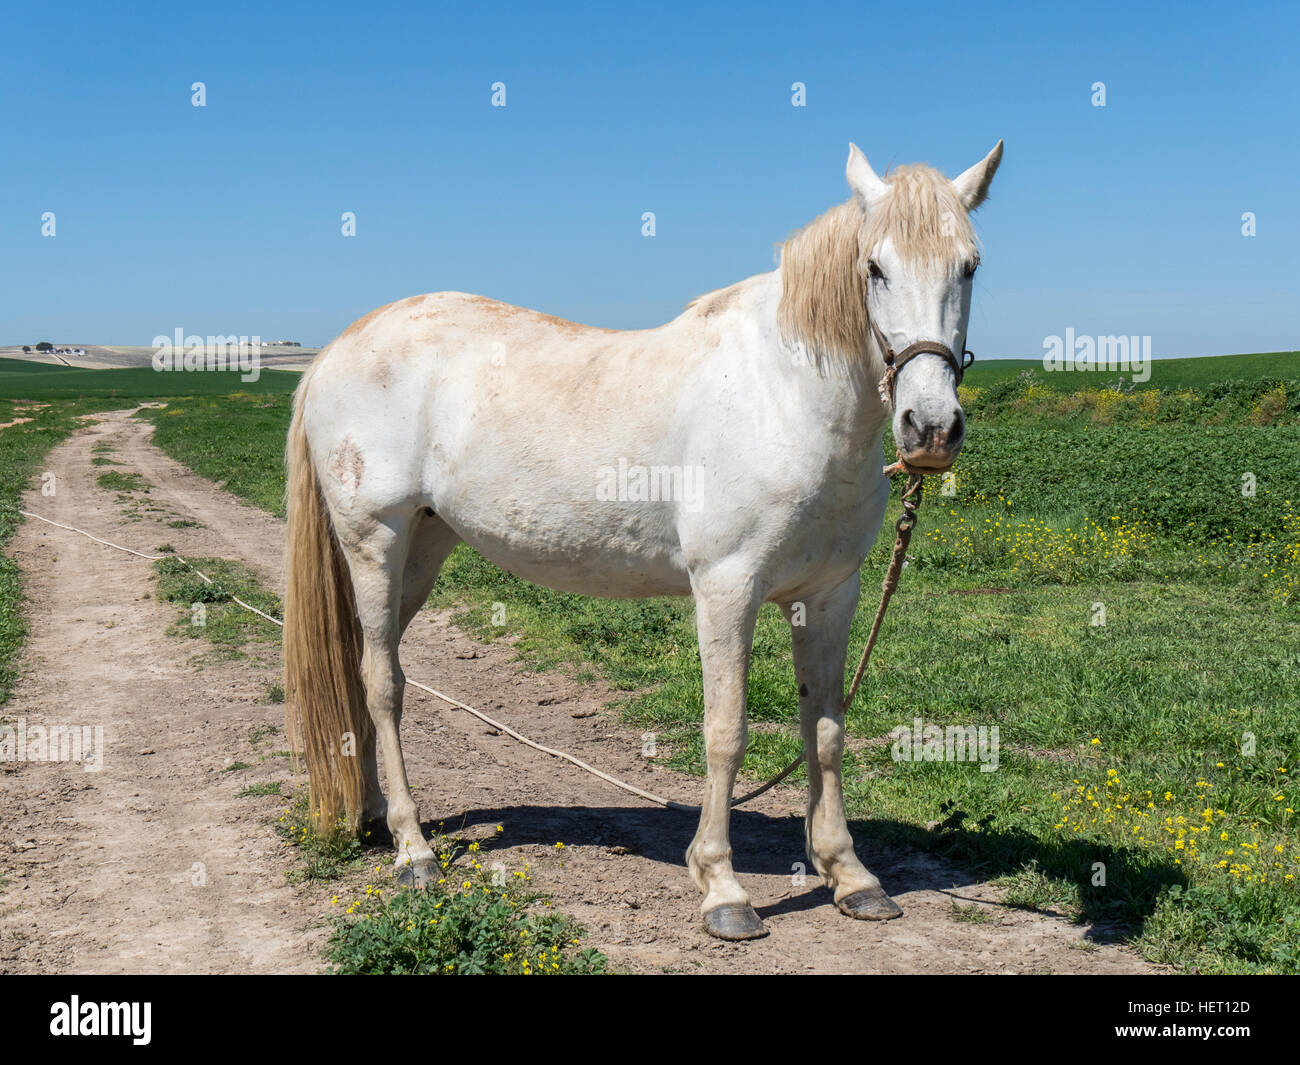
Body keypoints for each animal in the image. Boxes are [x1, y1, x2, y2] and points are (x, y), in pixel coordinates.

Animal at [283, 139, 1003, 940]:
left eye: (969, 266)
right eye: (874, 267)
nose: (930, 428)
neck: (785, 396)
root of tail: (336, 349)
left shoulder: (829, 595)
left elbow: (825, 729)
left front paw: (849, 874)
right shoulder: (727, 586)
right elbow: (726, 732)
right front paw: (722, 887)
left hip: (423, 550)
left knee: (361, 669)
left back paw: (376, 816)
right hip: (374, 542)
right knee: (384, 683)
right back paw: (412, 850)